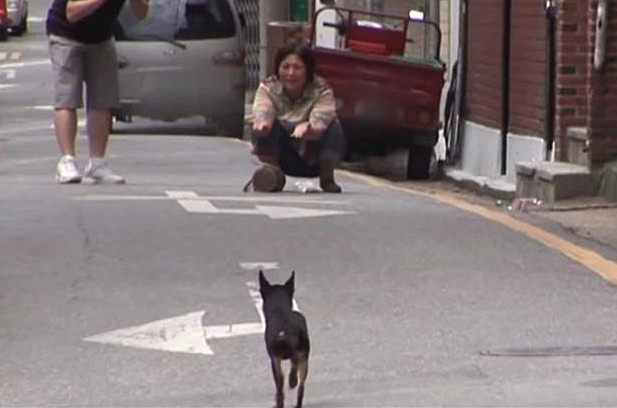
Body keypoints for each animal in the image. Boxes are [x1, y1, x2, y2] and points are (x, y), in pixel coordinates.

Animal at [258, 270, 310, 408]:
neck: (279, 312)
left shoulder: (274, 359)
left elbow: (279, 384)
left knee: (287, 376)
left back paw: (291, 382)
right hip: (304, 358)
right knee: (301, 387)